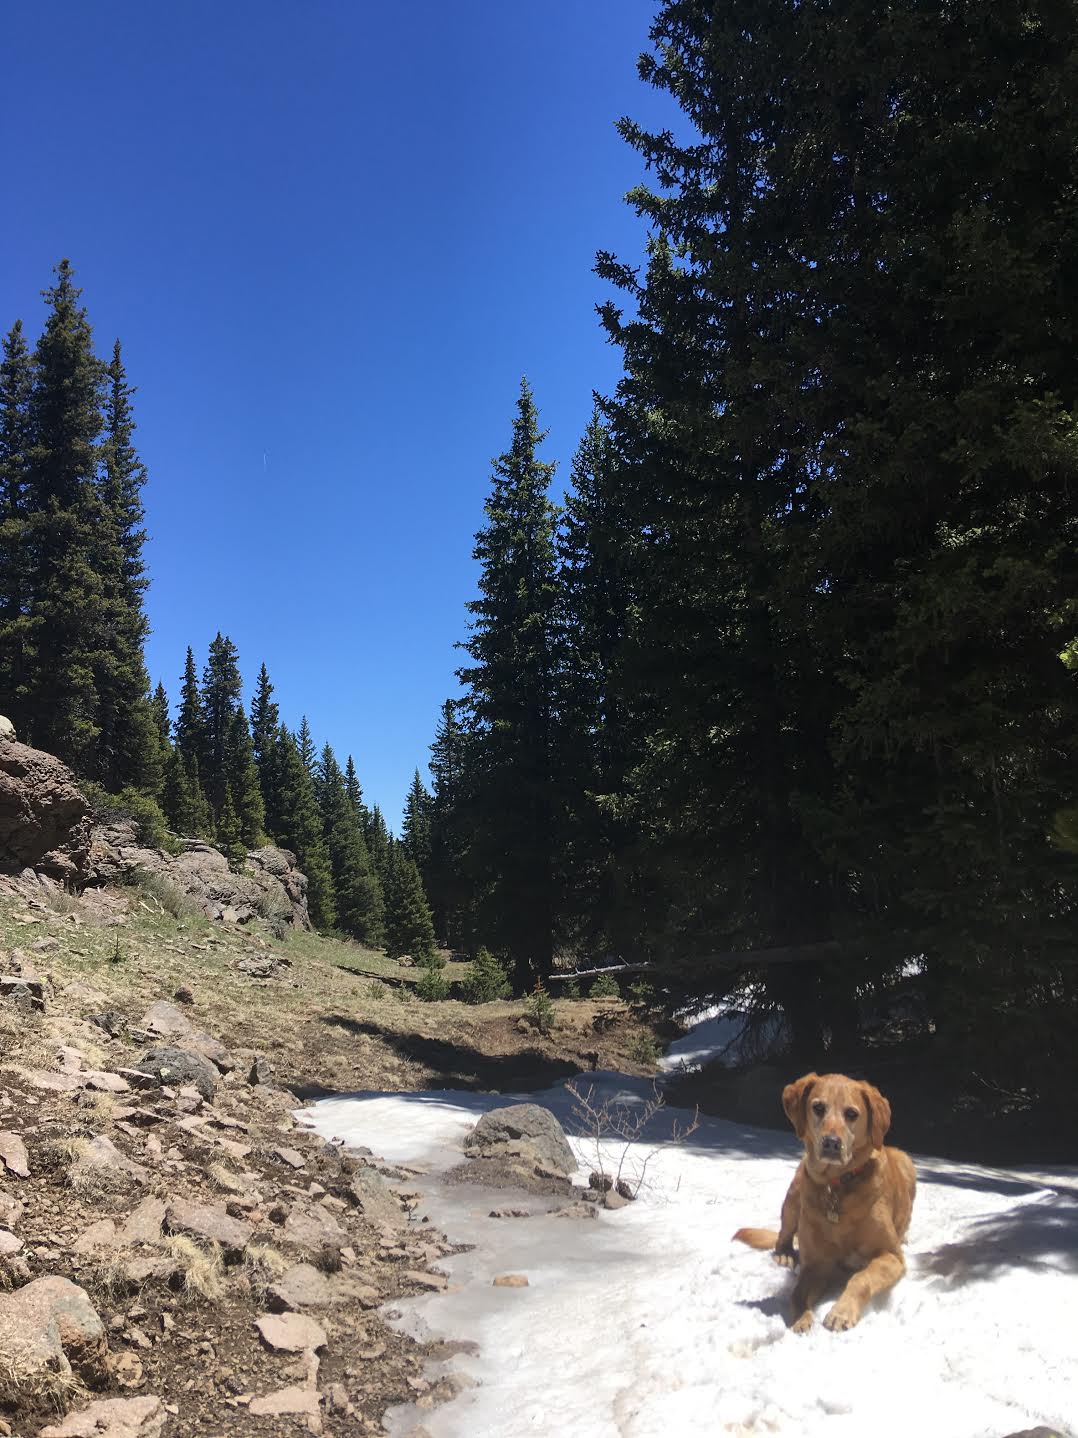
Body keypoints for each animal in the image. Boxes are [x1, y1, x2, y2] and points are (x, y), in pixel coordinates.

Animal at [735, 1075, 914, 1328]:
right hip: (797, 1186)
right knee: (783, 1235)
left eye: (852, 1113)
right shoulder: (816, 1265)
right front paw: (801, 1319)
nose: (831, 1142)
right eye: (818, 1107)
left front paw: (842, 1311)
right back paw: (785, 1254)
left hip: (906, 1161)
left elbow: (861, 1278)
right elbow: (798, 1293)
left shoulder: (892, 1256)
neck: (837, 1184)